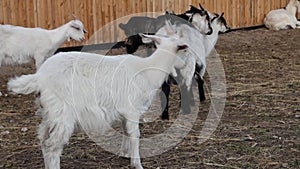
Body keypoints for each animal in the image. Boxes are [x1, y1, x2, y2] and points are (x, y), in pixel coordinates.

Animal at [7, 31, 188, 168]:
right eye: (184, 50)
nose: (186, 65)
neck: (148, 70)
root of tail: (39, 77)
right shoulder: (132, 110)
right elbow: (135, 135)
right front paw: (137, 163)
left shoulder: (124, 111)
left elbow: (126, 132)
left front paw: (124, 153)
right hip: (62, 113)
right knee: (52, 146)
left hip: (50, 113)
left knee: (44, 141)